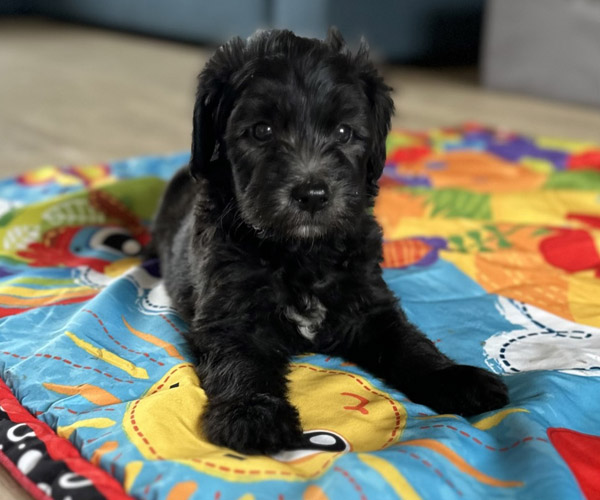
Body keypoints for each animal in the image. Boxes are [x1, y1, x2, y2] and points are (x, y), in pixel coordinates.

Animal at [149, 28, 509, 455]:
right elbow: (241, 363)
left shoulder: (368, 303)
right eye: (261, 130)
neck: (299, 252)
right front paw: (253, 413)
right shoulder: (231, 312)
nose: (312, 195)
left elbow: (409, 343)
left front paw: (455, 378)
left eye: (343, 132)